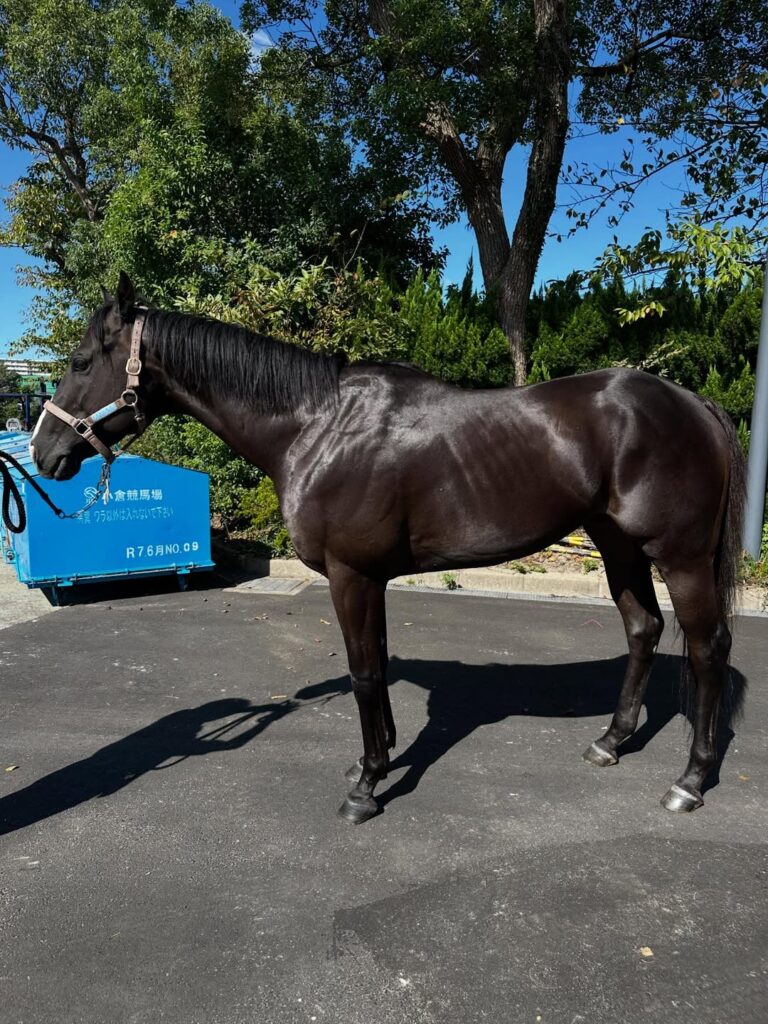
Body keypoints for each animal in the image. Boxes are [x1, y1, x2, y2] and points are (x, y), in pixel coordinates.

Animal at [30, 272, 746, 824]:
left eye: (82, 362)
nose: (43, 453)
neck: (316, 426)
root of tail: (693, 402)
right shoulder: (368, 578)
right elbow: (372, 664)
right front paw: (377, 758)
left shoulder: (351, 575)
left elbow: (364, 673)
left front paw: (367, 787)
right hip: (616, 543)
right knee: (643, 628)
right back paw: (611, 741)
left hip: (680, 557)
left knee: (707, 648)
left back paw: (689, 782)